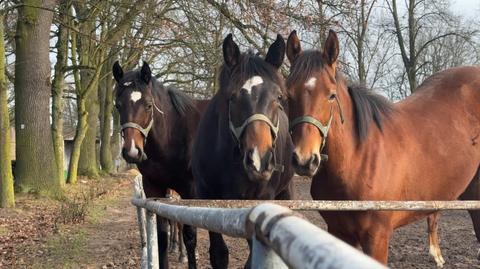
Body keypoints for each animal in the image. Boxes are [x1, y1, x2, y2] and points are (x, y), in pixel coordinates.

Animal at [113, 61, 209, 268]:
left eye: (149, 105)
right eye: (118, 105)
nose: (132, 152)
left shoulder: (189, 190)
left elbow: (190, 235)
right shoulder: (154, 189)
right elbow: (161, 237)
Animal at [284, 28, 480, 264]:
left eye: (331, 95)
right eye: (288, 94)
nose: (305, 160)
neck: (359, 158)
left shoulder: (377, 236)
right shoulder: (339, 232)